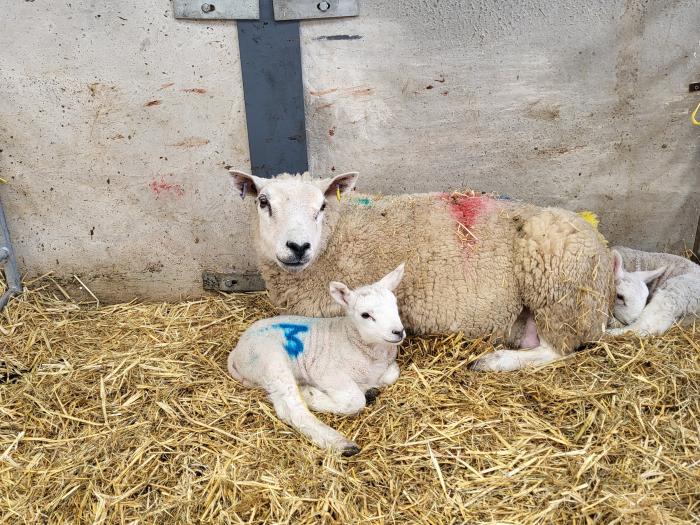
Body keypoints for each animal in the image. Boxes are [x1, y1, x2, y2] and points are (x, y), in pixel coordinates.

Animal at [227, 264, 408, 452]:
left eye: (395, 304)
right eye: (365, 315)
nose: (398, 331)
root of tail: (237, 350)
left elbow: (392, 373)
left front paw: (371, 388)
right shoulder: (324, 372)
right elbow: (355, 401)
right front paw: (312, 395)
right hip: (271, 361)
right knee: (293, 410)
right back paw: (340, 443)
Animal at [228, 170, 612, 370]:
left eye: (322, 205)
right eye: (263, 202)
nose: (298, 247)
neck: (338, 234)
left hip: (559, 292)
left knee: (558, 348)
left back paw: (494, 361)